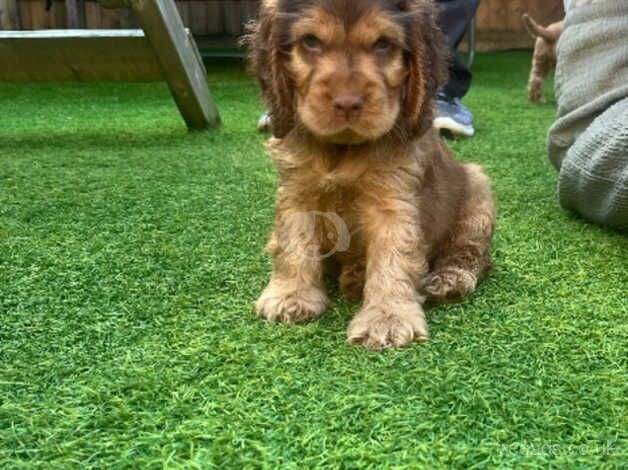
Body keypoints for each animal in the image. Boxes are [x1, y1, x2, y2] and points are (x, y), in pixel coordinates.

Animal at [245, 0, 496, 346]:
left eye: (382, 44)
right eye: (310, 41)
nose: (347, 103)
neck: (342, 150)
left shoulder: (393, 199)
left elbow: (393, 255)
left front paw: (387, 318)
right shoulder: (297, 191)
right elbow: (293, 243)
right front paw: (290, 296)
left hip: (477, 192)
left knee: (473, 254)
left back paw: (449, 279)